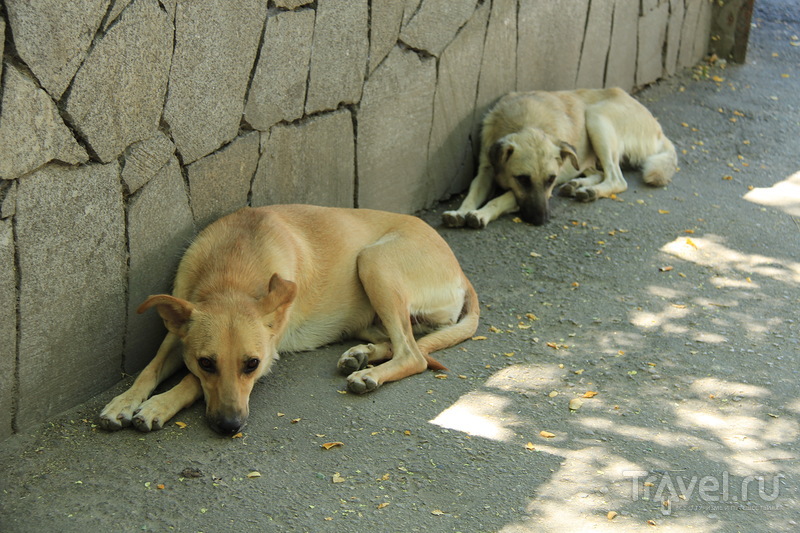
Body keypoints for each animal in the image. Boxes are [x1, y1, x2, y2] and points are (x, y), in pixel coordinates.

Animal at [97, 204, 478, 432]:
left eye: (252, 365)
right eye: (207, 363)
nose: (229, 426)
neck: (231, 274)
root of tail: (461, 271)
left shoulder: (269, 352)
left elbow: (188, 382)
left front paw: (158, 405)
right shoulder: (177, 335)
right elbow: (150, 369)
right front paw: (124, 401)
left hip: (374, 262)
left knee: (414, 354)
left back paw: (369, 374)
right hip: (371, 307)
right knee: (403, 343)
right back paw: (361, 356)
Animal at [440, 88, 680, 229]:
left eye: (550, 180)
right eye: (523, 179)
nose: (542, 220)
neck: (525, 123)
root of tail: (658, 128)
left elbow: (500, 199)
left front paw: (481, 214)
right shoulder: (486, 170)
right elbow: (471, 195)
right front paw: (460, 212)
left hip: (596, 117)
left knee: (617, 180)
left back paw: (591, 191)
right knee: (599, 172)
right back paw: (578, 185)